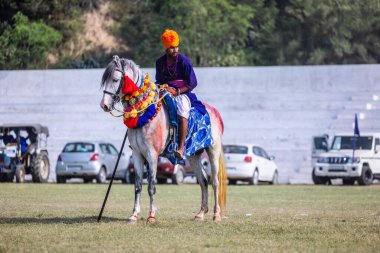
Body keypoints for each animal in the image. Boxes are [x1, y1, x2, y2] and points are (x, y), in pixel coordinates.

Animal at [99, 56, 227, 222]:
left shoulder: (152, 155)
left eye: (115, 79)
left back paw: (216, 214)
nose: (104, 105)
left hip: (213, 151)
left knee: (215, 182)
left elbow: (151, 186)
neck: (144, 112)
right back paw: (200, 213)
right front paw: (134, 215)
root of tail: (214, 112)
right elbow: (138, 185)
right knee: (203, 181)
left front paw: (151, 215)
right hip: (193, 156)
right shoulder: (137, 154)